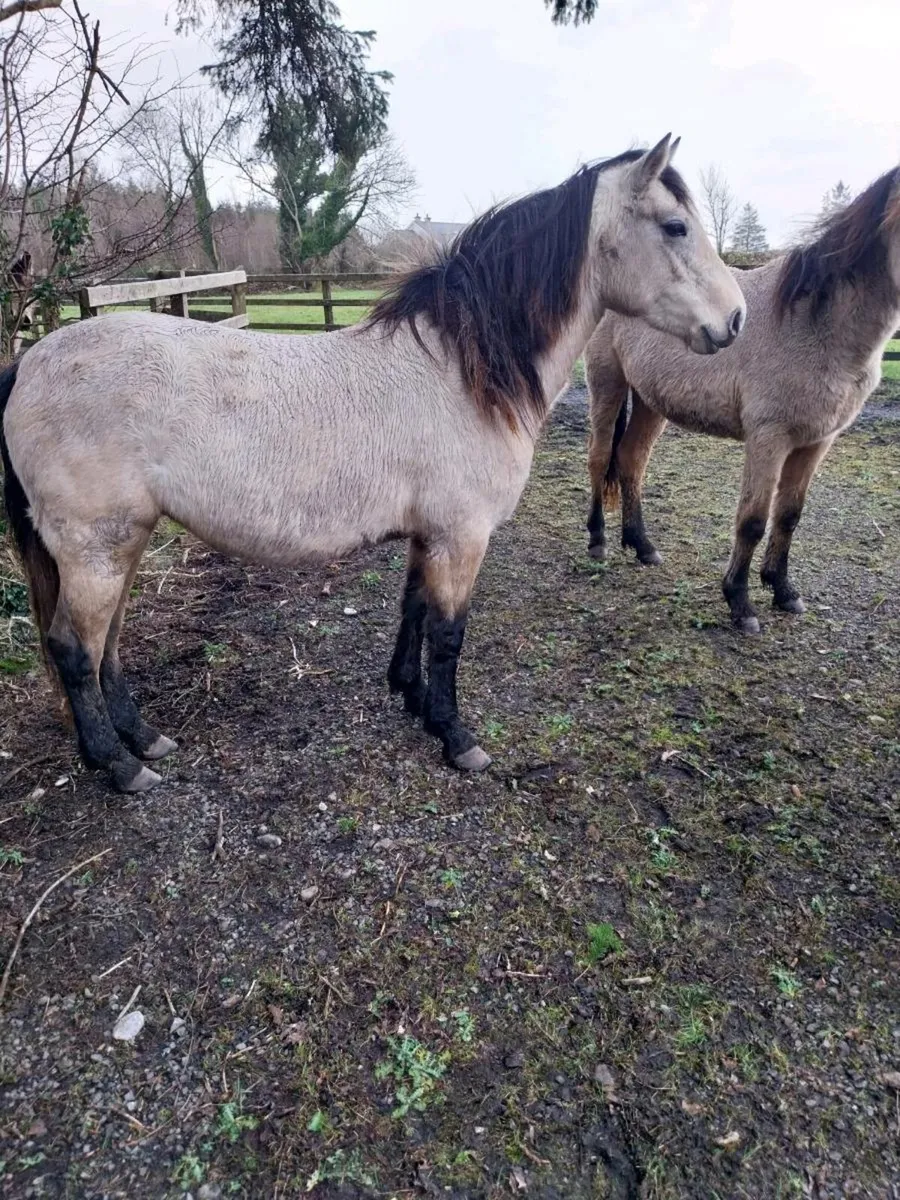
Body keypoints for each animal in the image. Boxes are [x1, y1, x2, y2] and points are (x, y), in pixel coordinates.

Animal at [1, 135, 745, 794]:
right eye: (676, 226)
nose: (736, 321)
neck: (462, 369)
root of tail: (27, 365)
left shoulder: (429, 534)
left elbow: (413, 610)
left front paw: (412, 699)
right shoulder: (461, 536)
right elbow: (448, 633)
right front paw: (456, 737)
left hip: (120, 544)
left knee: (107, 644)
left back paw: (143, 738)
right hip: (95, 549)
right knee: (75, 649)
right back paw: (119, 765)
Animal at [583, 164, 900, 633]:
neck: (813, 324)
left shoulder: (815, 442)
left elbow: (788, 515)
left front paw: (784, 591)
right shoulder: (769, 438)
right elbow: (752, 520)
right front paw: (741, 603)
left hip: (649, 402)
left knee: (631, 461)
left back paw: (642, 546)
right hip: (608, 385)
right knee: (600, 456)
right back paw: (598, 541)